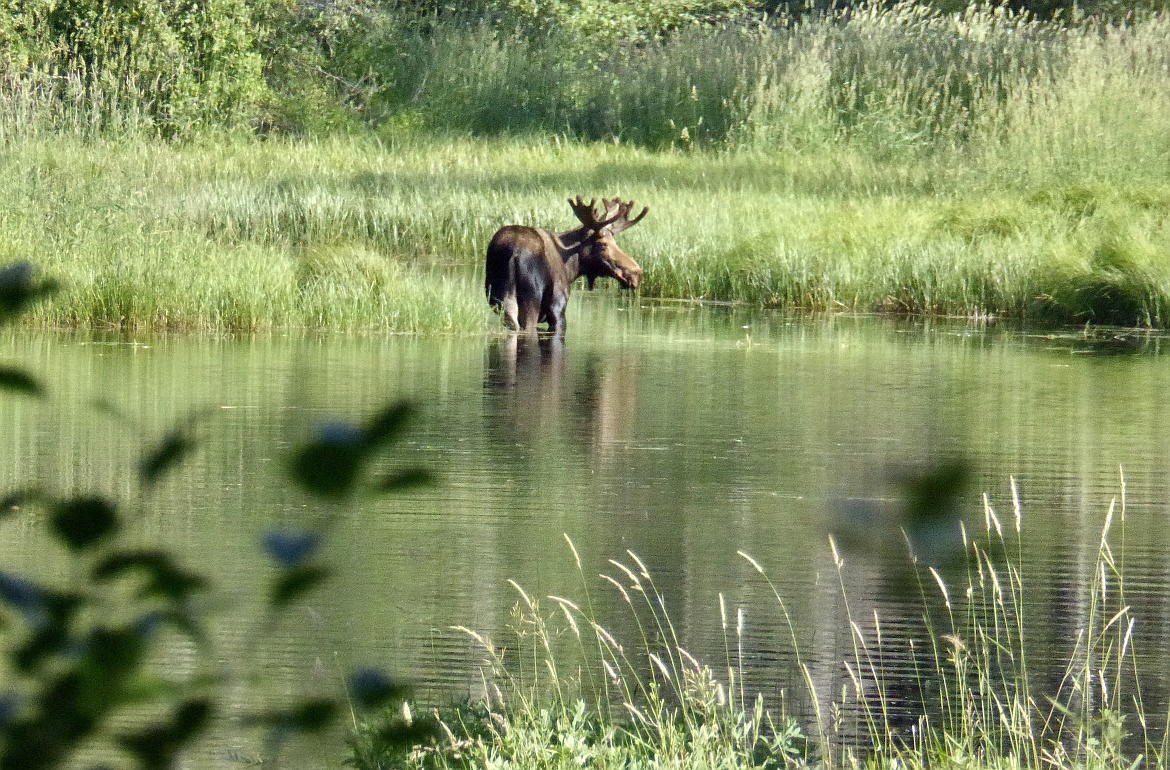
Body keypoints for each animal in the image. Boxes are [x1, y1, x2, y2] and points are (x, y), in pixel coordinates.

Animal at [484, 195, 650, 337]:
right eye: (603, 244)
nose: (637, 273)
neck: (571, 268)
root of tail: (515, 254)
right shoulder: (558, 306)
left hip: (501, 299)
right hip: (531, 301)